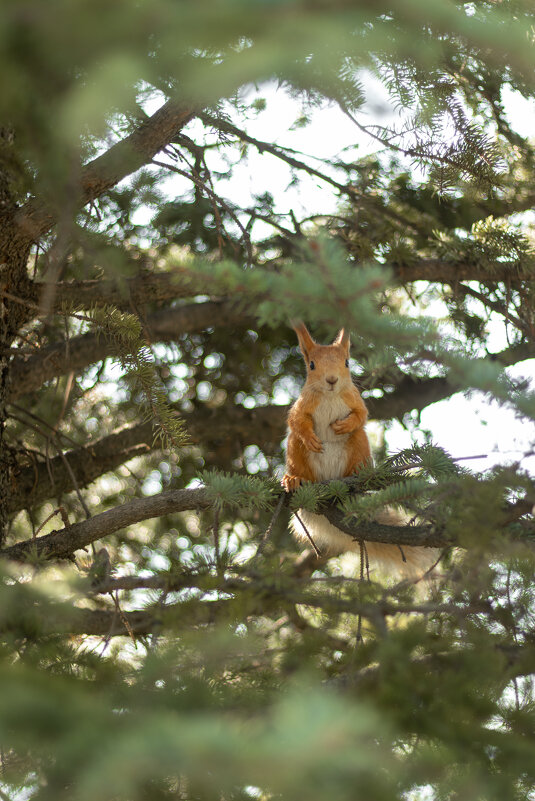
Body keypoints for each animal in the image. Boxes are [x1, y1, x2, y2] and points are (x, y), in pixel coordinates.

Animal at [284, 322, 436, 580]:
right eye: (312, 365)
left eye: (347, 362)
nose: (332, 380)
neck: (330, 395)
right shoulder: (302, 405)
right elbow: (296, 422)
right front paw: (311, 438)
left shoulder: (354, 399)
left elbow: (362, 415)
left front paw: (344, 425)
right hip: (296, 451)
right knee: (298, 453)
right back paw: (293, 479)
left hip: (359, 444)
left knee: (358, 439)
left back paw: (357, 476)